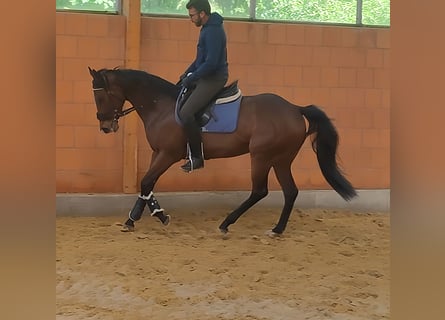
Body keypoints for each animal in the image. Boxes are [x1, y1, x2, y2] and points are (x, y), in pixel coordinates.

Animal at [87, 66, 358, 236]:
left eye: (101, 98)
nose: (105, 126)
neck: (159, 105)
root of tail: (294, 108)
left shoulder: (168, 154)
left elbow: (145, 182)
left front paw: (146, 217)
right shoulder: (157, 153)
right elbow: (148, 184)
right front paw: (144, 216)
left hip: (262, 156)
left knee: (260, 191)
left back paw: (226, 223)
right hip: (281, 159)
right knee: (290, 191)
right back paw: (277, 229)